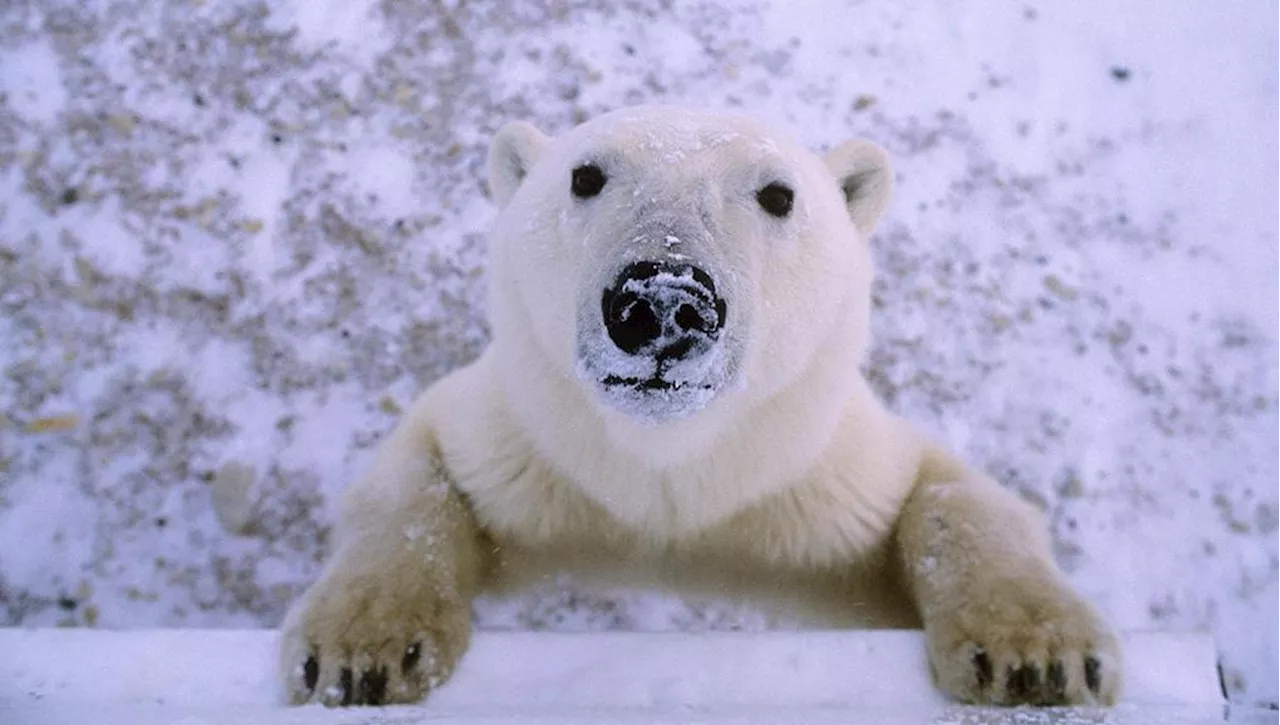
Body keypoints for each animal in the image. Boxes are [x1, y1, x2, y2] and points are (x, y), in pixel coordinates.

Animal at [277, 106, 1121, 712]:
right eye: (585, 175)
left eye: (778, 193)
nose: (661, 302)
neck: (671, 464)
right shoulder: (528, 445)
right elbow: (415, 480)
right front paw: (362, 651)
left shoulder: (810, 476)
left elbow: (950, 495)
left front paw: (1034, 657)